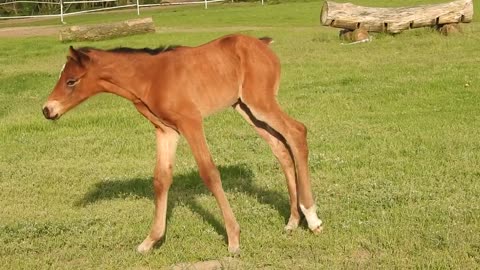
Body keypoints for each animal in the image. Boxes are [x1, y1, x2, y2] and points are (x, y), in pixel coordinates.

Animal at [42, 34, 322, 253]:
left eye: (71, 81)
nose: (47, 110)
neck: (150, 78)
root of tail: (263, 44)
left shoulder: (191, 123)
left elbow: (209, 173)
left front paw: (233, 239)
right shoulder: (166, 130)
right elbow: (161, 179)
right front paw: (150, 241)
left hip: (260, 102)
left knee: (296, 132)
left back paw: (313, 218)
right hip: (245, 108)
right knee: (281, 148)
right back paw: (293, 221)